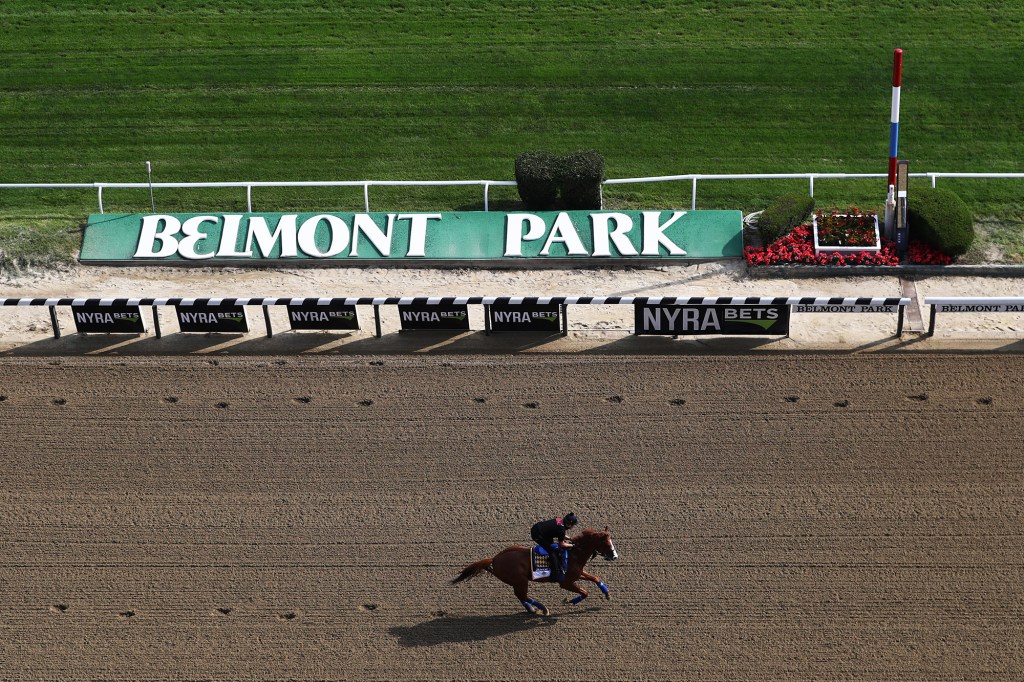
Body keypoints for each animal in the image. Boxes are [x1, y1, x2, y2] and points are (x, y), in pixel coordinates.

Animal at [450, 522, 614, 614]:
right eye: (606, 543)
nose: (614, 555)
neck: (573, 553)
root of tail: (495, 559)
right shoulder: (565, 582)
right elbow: (585, 592)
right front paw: (570, 601)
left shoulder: (578, 573)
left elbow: (595, 578)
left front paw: (606, 593)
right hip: (521, 581)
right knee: (522, 596)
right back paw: (542, 608)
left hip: (517, 582)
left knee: (521, 596)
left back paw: (532, 609)